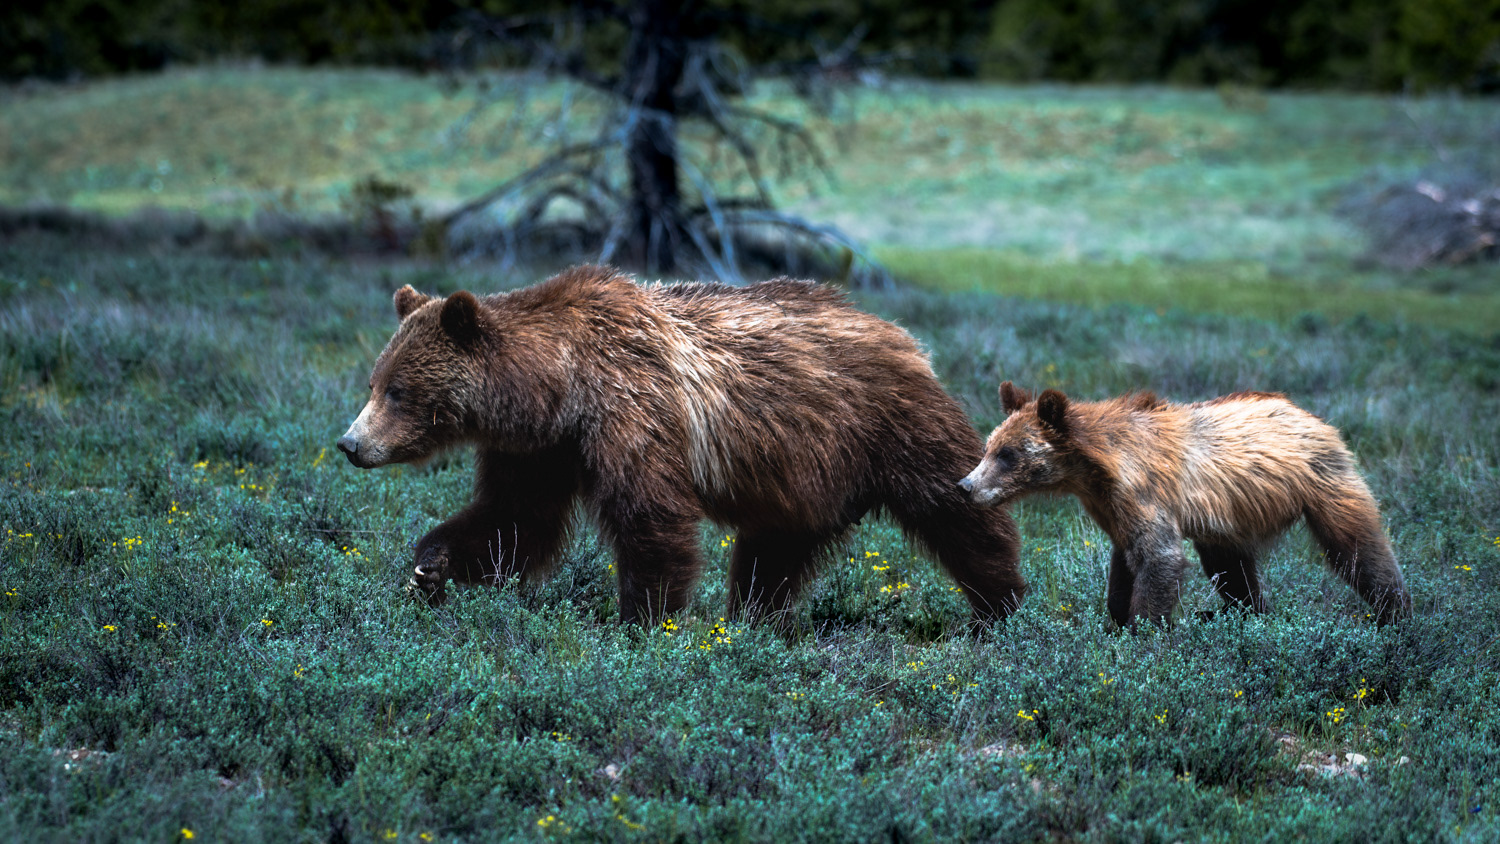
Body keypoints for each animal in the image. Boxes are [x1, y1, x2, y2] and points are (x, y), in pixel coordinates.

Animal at [337, 265, 1024, 626]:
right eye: (374, 380)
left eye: (397, 390)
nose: (349, 443)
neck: (557, 389)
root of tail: (902, 333)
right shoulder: (542, 449)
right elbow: (513, 519)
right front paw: (430, 566)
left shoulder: (631, 409)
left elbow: (650, 516)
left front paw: (644, 619)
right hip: (804, 475)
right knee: (773, 550)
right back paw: (753, 618)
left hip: (890, 425)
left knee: (956, 510)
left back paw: (1004, 607)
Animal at [958, 381, 1410, 627]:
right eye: (989, 446)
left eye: (1007, 454)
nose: (965, 485)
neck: (1093, 469)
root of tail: (1312, 415)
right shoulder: (1112, 507)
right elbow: (1125, 561)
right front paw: (1117, 616)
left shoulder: (1142, 492)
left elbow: (1159, 557)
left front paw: (1142, 629)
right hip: (1226, 518)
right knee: (1231, 568)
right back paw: (1244, 612)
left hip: (1323, 481)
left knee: (1358, 547)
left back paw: (1395, 613)